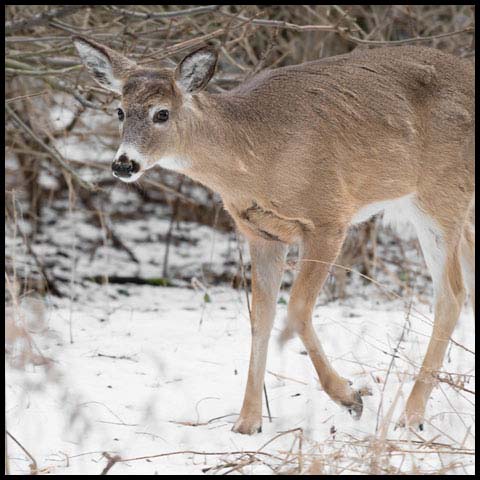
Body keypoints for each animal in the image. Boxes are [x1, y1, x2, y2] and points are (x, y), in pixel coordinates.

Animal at [73, 36, 474, 436]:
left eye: (162, 114)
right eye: (120, 111)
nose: (123, 164)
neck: (254, 156)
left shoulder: (328, 217)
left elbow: (296, 309)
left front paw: (350, 396)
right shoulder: (261, 233)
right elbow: (259, 319)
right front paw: (247, 422)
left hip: (440, 196)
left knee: (451, 295)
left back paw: (411, 415)